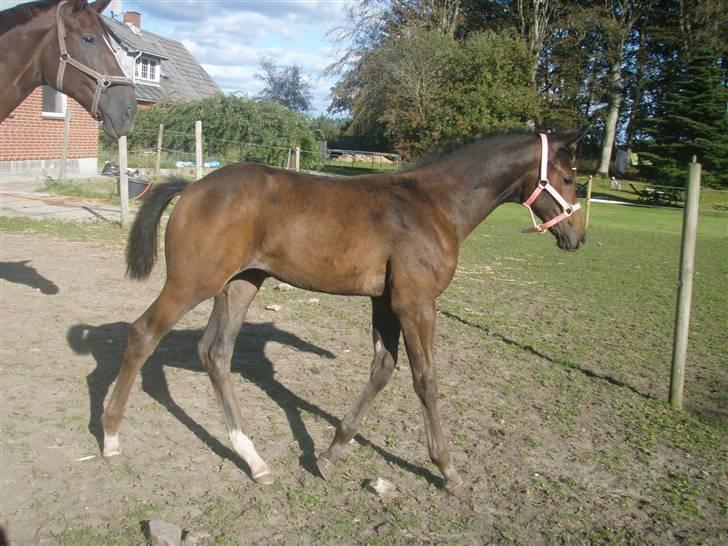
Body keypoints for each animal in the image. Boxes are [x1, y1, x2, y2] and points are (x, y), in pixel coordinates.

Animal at [101, 131, 584, 488]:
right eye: (570, 179)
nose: (577, 237)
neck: (434, 206)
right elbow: (425, 381)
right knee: (143, 334)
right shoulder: (417, 304)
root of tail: (192, 186)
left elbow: (382, 370)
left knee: (215, 353)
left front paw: (331, 453)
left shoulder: (386, 302)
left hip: (240, 284)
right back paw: (109, 436)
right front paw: (447, 469)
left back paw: (255, 461)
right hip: (192, 283)